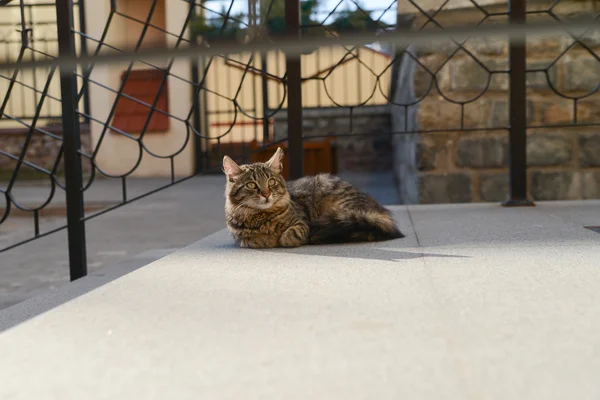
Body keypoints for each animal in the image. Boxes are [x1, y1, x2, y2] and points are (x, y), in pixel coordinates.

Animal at [223, 147, 406, 247]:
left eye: (271, 182)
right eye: (251, 185)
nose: (266, 194)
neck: (262, 217)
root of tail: (378, 210)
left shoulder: (302, 221)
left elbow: (292, 234)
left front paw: (281, 238)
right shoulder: (240, 237)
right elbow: (251, 239)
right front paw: (267, 239)